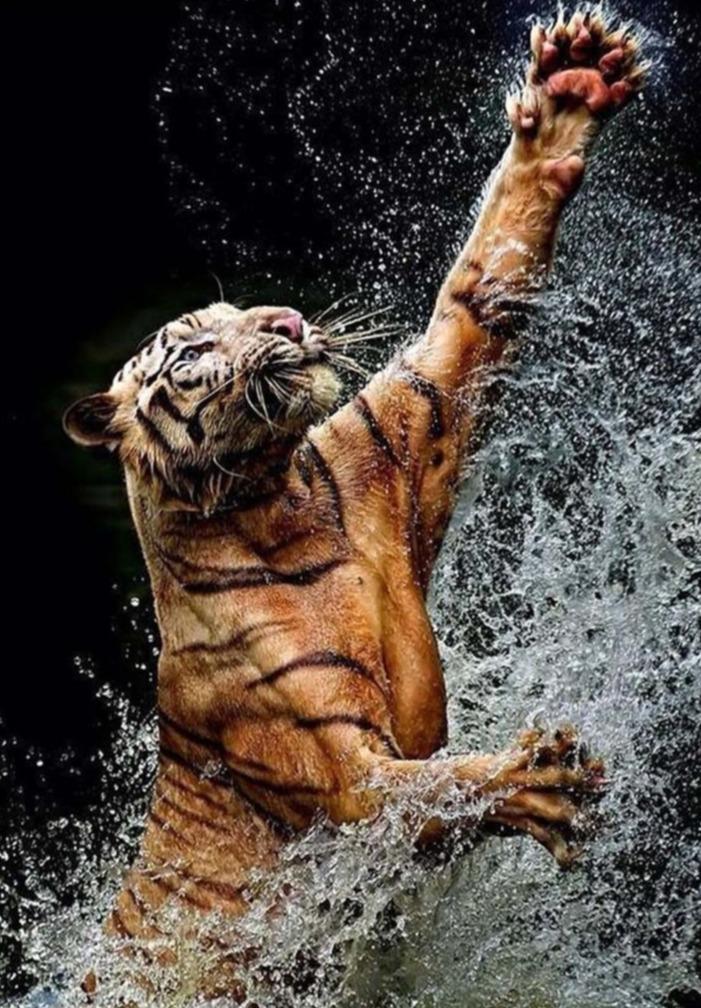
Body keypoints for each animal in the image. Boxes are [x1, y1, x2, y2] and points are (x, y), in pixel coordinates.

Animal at [64, 9, 646, 1003]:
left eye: (242, 311)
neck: (275, 498)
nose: (288, 322)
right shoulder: (341, 775)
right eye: (193, 348)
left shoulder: (407, 422)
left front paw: (569, 88)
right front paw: (537, 782)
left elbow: (478, 287)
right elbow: (430, 789)